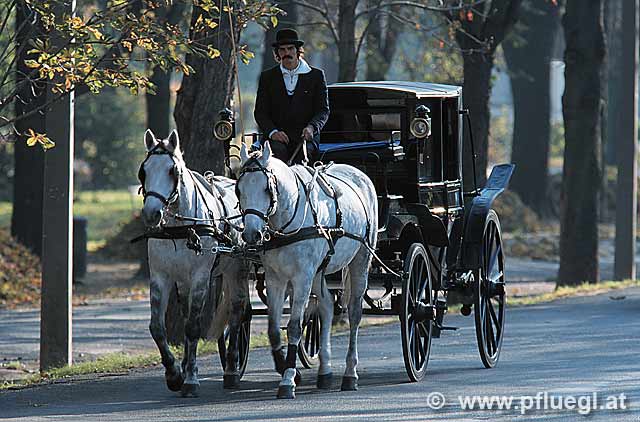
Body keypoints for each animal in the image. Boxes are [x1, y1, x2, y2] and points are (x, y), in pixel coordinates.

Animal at [140, 130, 250, 398]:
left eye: (173, 171)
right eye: (144, 170)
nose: (151, 214)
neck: (179, 228)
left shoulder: (201, 276)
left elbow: (192, 327)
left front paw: (190, 379)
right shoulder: (161, 276)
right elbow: (158, 327)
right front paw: (174, 373)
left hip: (236, 269)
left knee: (237, 312)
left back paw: (232, 370)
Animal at [236, 142, 378, 398]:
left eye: (267, 189)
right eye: (239, 190)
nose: (252, 234)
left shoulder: (302, 277)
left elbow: (294, 326)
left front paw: (288, 380)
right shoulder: (275, 278)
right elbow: (273, 329)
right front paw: (286, 368)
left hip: (360, 261)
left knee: (354, 314)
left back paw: (350, 374)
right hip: (319, 271)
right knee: (327, 306)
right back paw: (325, 371)